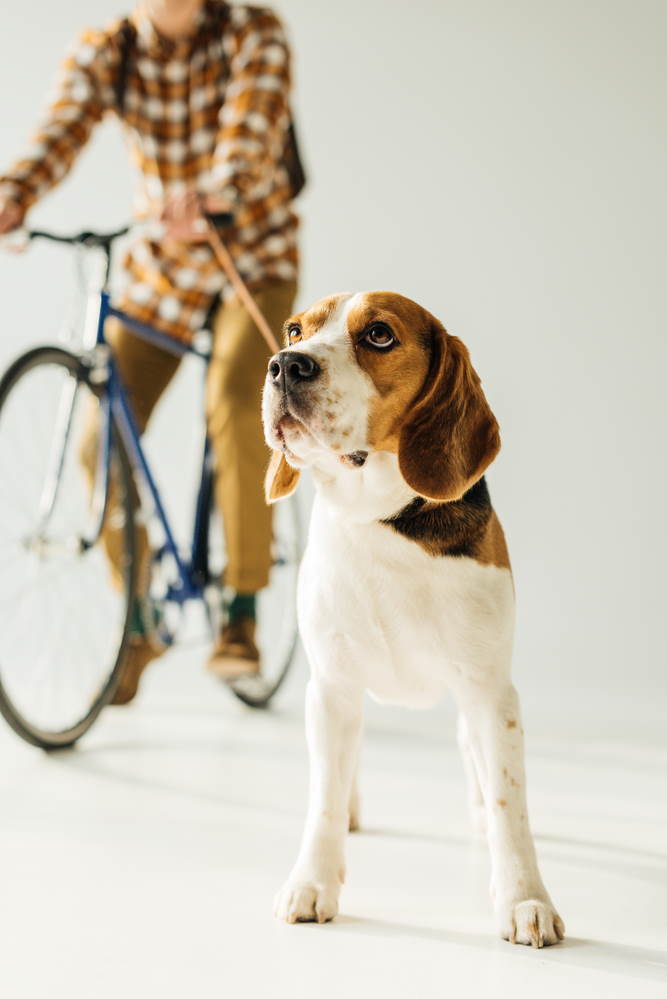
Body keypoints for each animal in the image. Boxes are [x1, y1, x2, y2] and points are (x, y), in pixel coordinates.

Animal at [260, 292, 564, 948]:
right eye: (295, 329)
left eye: (378, 334)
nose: (286, 364)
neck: (379, 520)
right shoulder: (331, 686)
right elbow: (322, 797)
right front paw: (312, 882)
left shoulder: (490, 693)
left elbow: (510, 806)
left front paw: (525, 900)